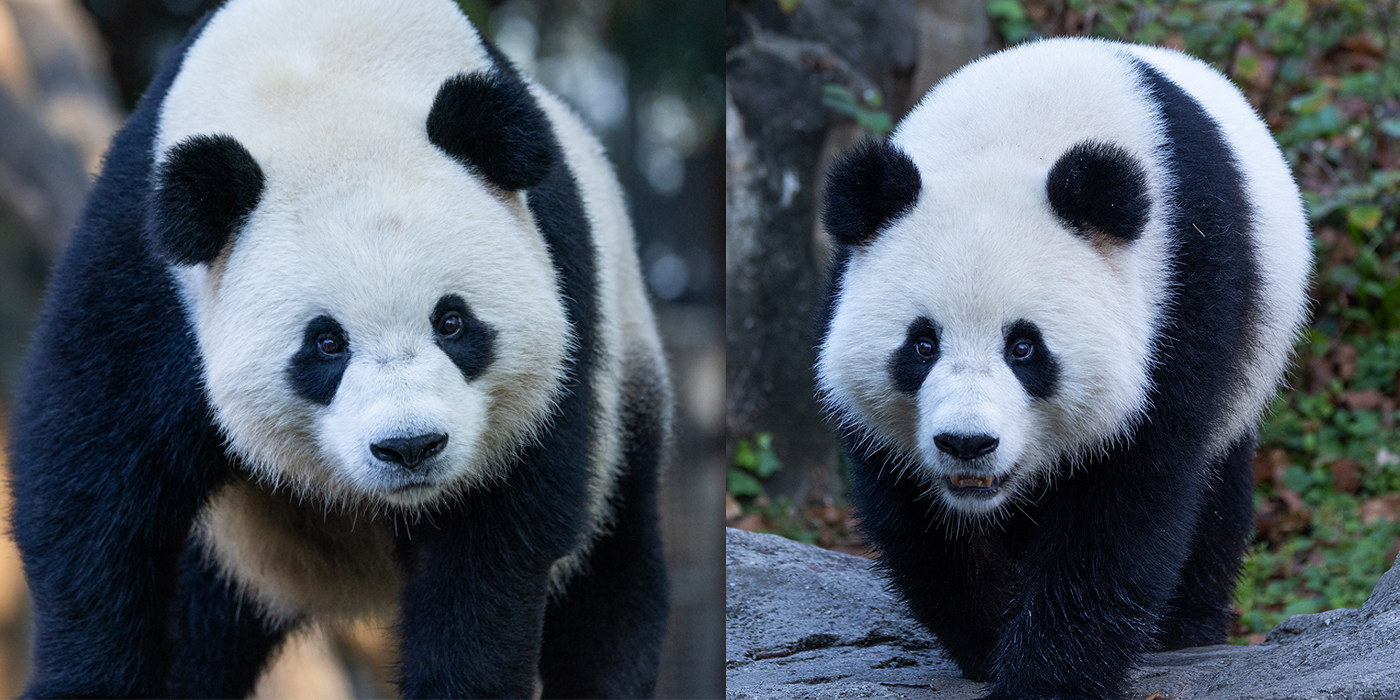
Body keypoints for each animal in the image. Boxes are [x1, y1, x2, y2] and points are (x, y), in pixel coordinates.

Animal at [5, 0, 672, 694]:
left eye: (451, 322)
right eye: (326, 343)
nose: (410, 447)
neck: (324, 80)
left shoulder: (561, 281)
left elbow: (497, 539)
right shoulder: (146, 284)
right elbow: (92, 493)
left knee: (613, 579)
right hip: (238, 546)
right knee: (202, 623)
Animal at [817, 39, 1310, 700]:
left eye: (1024, 348)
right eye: (922, 345)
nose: (967, 443)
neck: (1018, 134)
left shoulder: (1183, 292)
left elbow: (1126, 503)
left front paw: (1043, 676)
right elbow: (919, 516)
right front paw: (990, 639)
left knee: (1217, 487)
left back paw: (1186, 628)